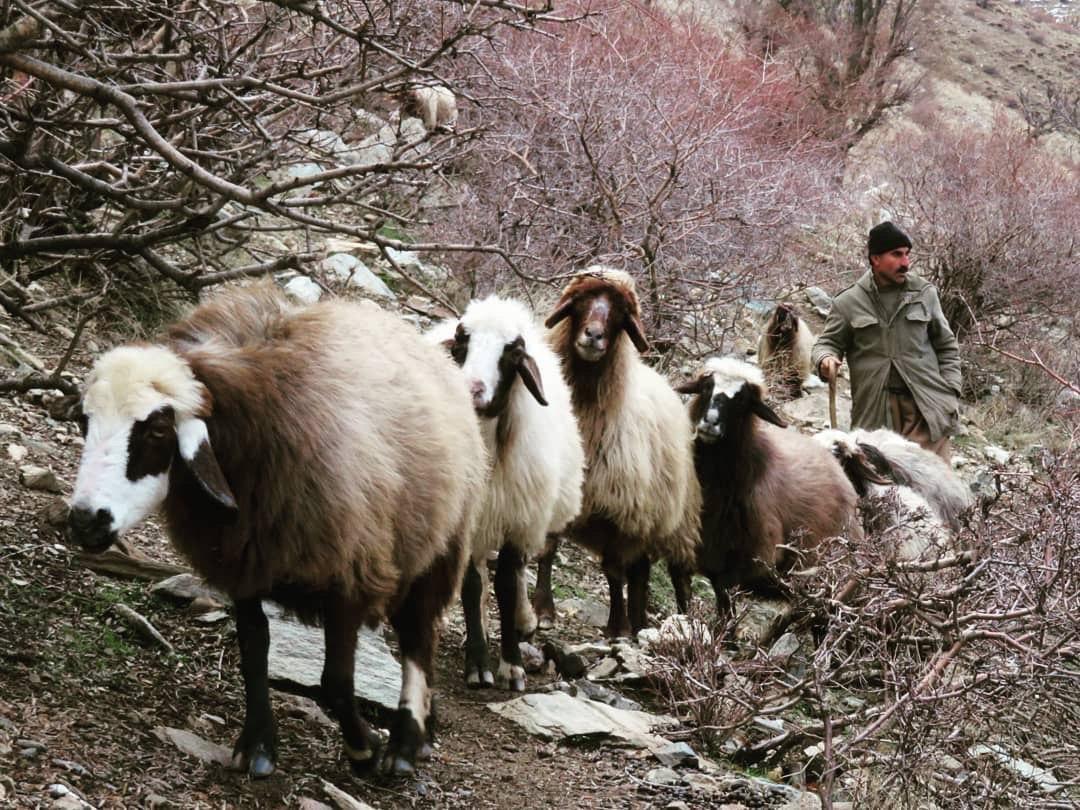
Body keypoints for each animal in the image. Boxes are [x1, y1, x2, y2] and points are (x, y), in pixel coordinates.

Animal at [65, 282, 488, 781]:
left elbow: (334, 682)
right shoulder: (246, 563)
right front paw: (258, 747)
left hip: (441, 547)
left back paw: (404, 744)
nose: (85, 521)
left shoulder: (351, 572)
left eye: (156, 431)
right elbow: (254, 651)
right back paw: (424, 733)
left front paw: (363, 748)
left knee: (417, 639)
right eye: (85, 421)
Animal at [429, 295, 587, 691]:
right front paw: (479, 664)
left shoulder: (520, 518)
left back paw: (523, 620)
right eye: (462, 341)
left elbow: (506, 583)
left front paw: (512, 664)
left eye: (512, 352)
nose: (471, 389)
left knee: (519, 572)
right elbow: (473, 586)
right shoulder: (469, 518)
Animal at [537, 266, 704, 639]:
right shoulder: (560, 490)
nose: (593, 335)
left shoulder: (623, 512)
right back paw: (641, 622)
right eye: (581, 301)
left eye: (620, 313)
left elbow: (613, 571)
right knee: (640, 575)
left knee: (679, 577)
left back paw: (685, 624)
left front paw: (618, 628)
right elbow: (548, 547)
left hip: (676, 521)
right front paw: (543, 611)